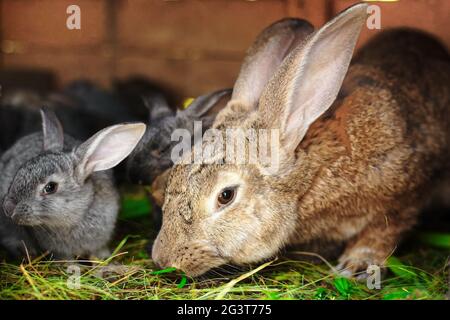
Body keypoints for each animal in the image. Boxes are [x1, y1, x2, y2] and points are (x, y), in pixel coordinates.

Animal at [152, 3, 450, 278]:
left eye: (226, 196)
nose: (163, 259)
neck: (310, 179)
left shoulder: (406, 190)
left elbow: (384, 228)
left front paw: (357, 265)